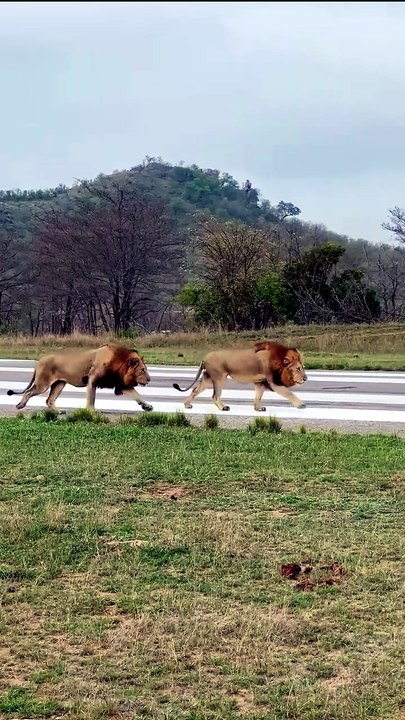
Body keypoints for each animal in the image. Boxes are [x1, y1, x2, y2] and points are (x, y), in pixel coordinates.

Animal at [7, 343, 153, 413]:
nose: (149, 379)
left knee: (49, 400)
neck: (119, 364)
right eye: (142, 370)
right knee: (28, 392)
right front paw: (91, 412)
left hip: (59, 384)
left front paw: (147, 406)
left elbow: (137, 395)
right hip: (43, 384)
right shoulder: (92, 380)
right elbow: (91, 399)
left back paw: (59, 412)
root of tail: (39, 361)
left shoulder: (121, 385)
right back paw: (20, 405)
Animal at [173, 340, 307, 412]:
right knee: (215, 396)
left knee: (195, 390)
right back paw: (223, 408)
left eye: (303, 368)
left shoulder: (261, 382)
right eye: (298, 369)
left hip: (208, 379)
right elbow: (289, 393)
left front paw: (258, 408)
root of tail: (204, 358)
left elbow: (258, 396)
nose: (306, 378)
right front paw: (301, 405)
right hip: (219, 378)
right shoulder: (274, 382)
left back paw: (187, 404)